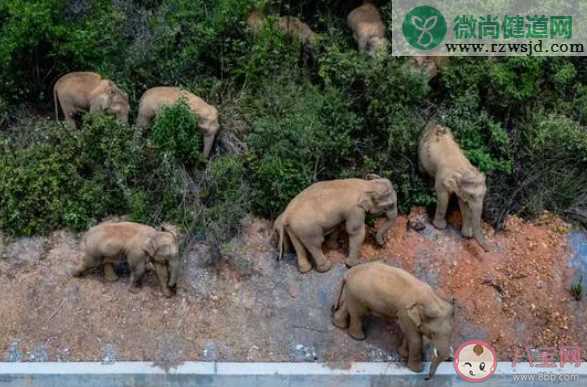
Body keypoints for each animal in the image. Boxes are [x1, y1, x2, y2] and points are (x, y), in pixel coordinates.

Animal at [418, 123, 492, 252]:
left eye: (484, 194)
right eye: (471, 195)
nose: (488, 250)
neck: (463, 169)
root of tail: (436, 124)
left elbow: (463, 204)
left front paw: (467, 235)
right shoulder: (441, 178)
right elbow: (443, 197)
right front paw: (440, 227)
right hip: (421, 150)